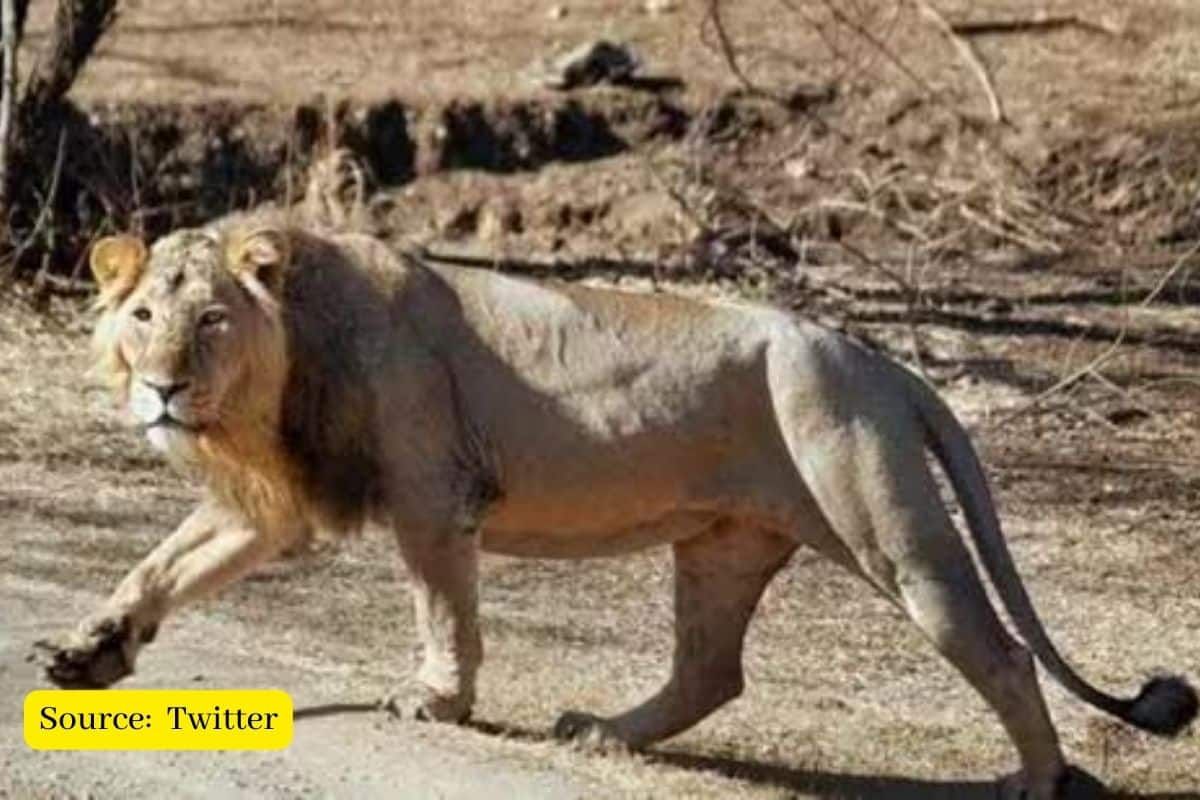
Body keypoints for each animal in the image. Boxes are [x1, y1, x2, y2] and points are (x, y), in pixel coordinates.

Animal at [35, 212, 1195, 799]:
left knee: (999, 651)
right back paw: (601, 731)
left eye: (212, 321)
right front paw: (89, 653)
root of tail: (877, 357)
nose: (162, 389)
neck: (272, 383)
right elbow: (158, 565)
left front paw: (436, 702)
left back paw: (1035, 784)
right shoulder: (274, 502)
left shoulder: (432, 493)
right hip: (725, 545)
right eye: (141, 317)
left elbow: (442, 607)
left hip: (888, 526)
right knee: (711, 670)